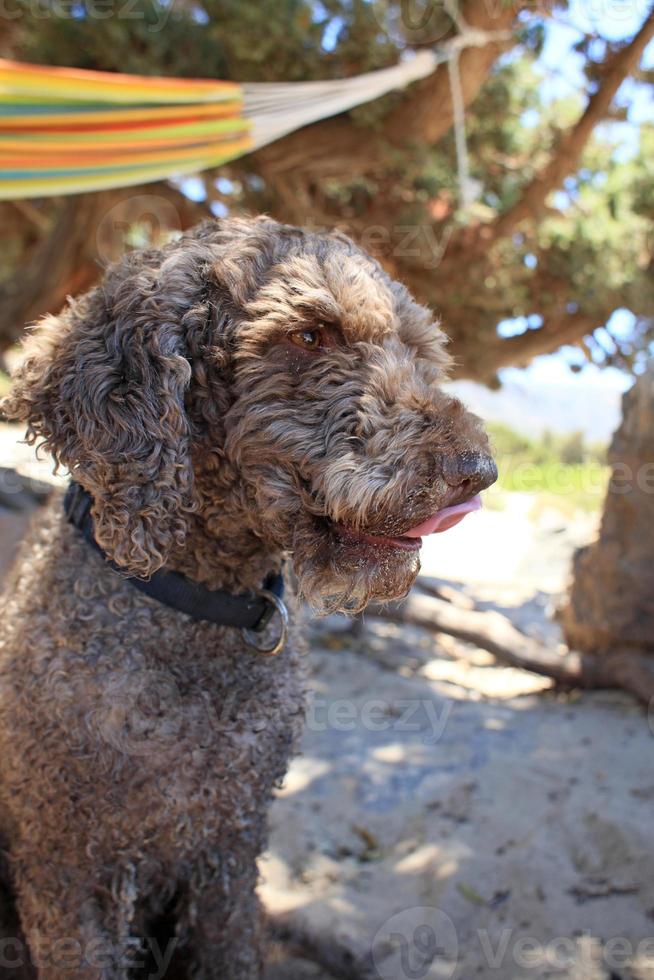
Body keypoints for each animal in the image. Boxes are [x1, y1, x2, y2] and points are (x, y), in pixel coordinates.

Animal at [0, 218, 498, 976]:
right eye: (311, 335)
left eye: (416, 350)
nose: (478, 472)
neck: (201, 610)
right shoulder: (68, 866)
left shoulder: (231, 849)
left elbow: (234, 947)